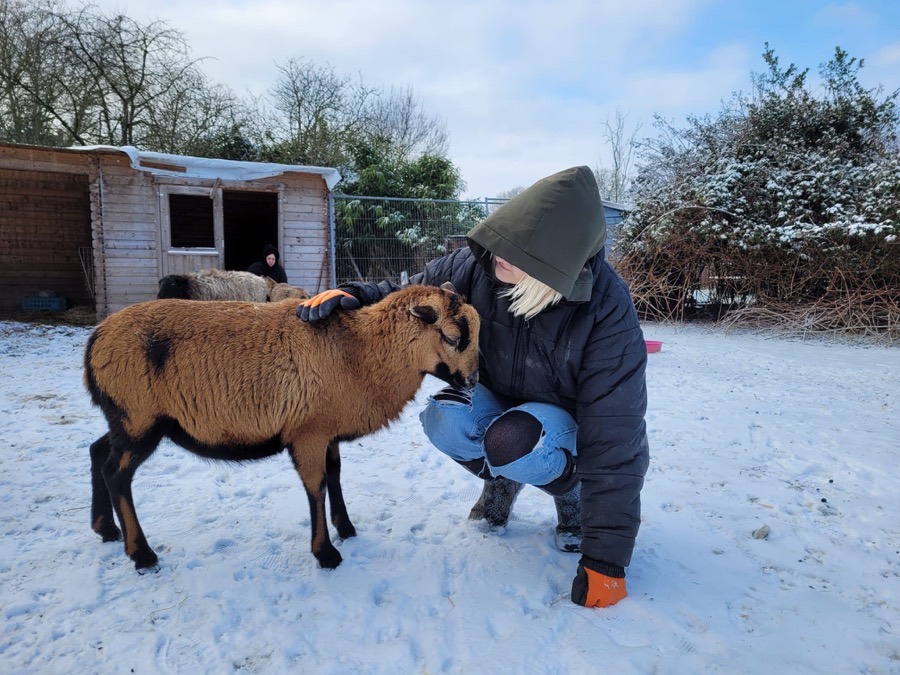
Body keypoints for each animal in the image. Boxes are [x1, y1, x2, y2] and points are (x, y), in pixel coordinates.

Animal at [84, 282, 479, 571]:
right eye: (451, 337)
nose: (474, 381)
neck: (361, 353)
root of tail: (96, 340)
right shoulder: (308, 432)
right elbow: (316, 486)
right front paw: (326, 553)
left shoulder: (327, 430)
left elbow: (335, 474)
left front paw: (346, 528)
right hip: (139, 417)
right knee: (116, 473)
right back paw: (141, 553)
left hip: (127, 418)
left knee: (97, 451)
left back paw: (106, 529)